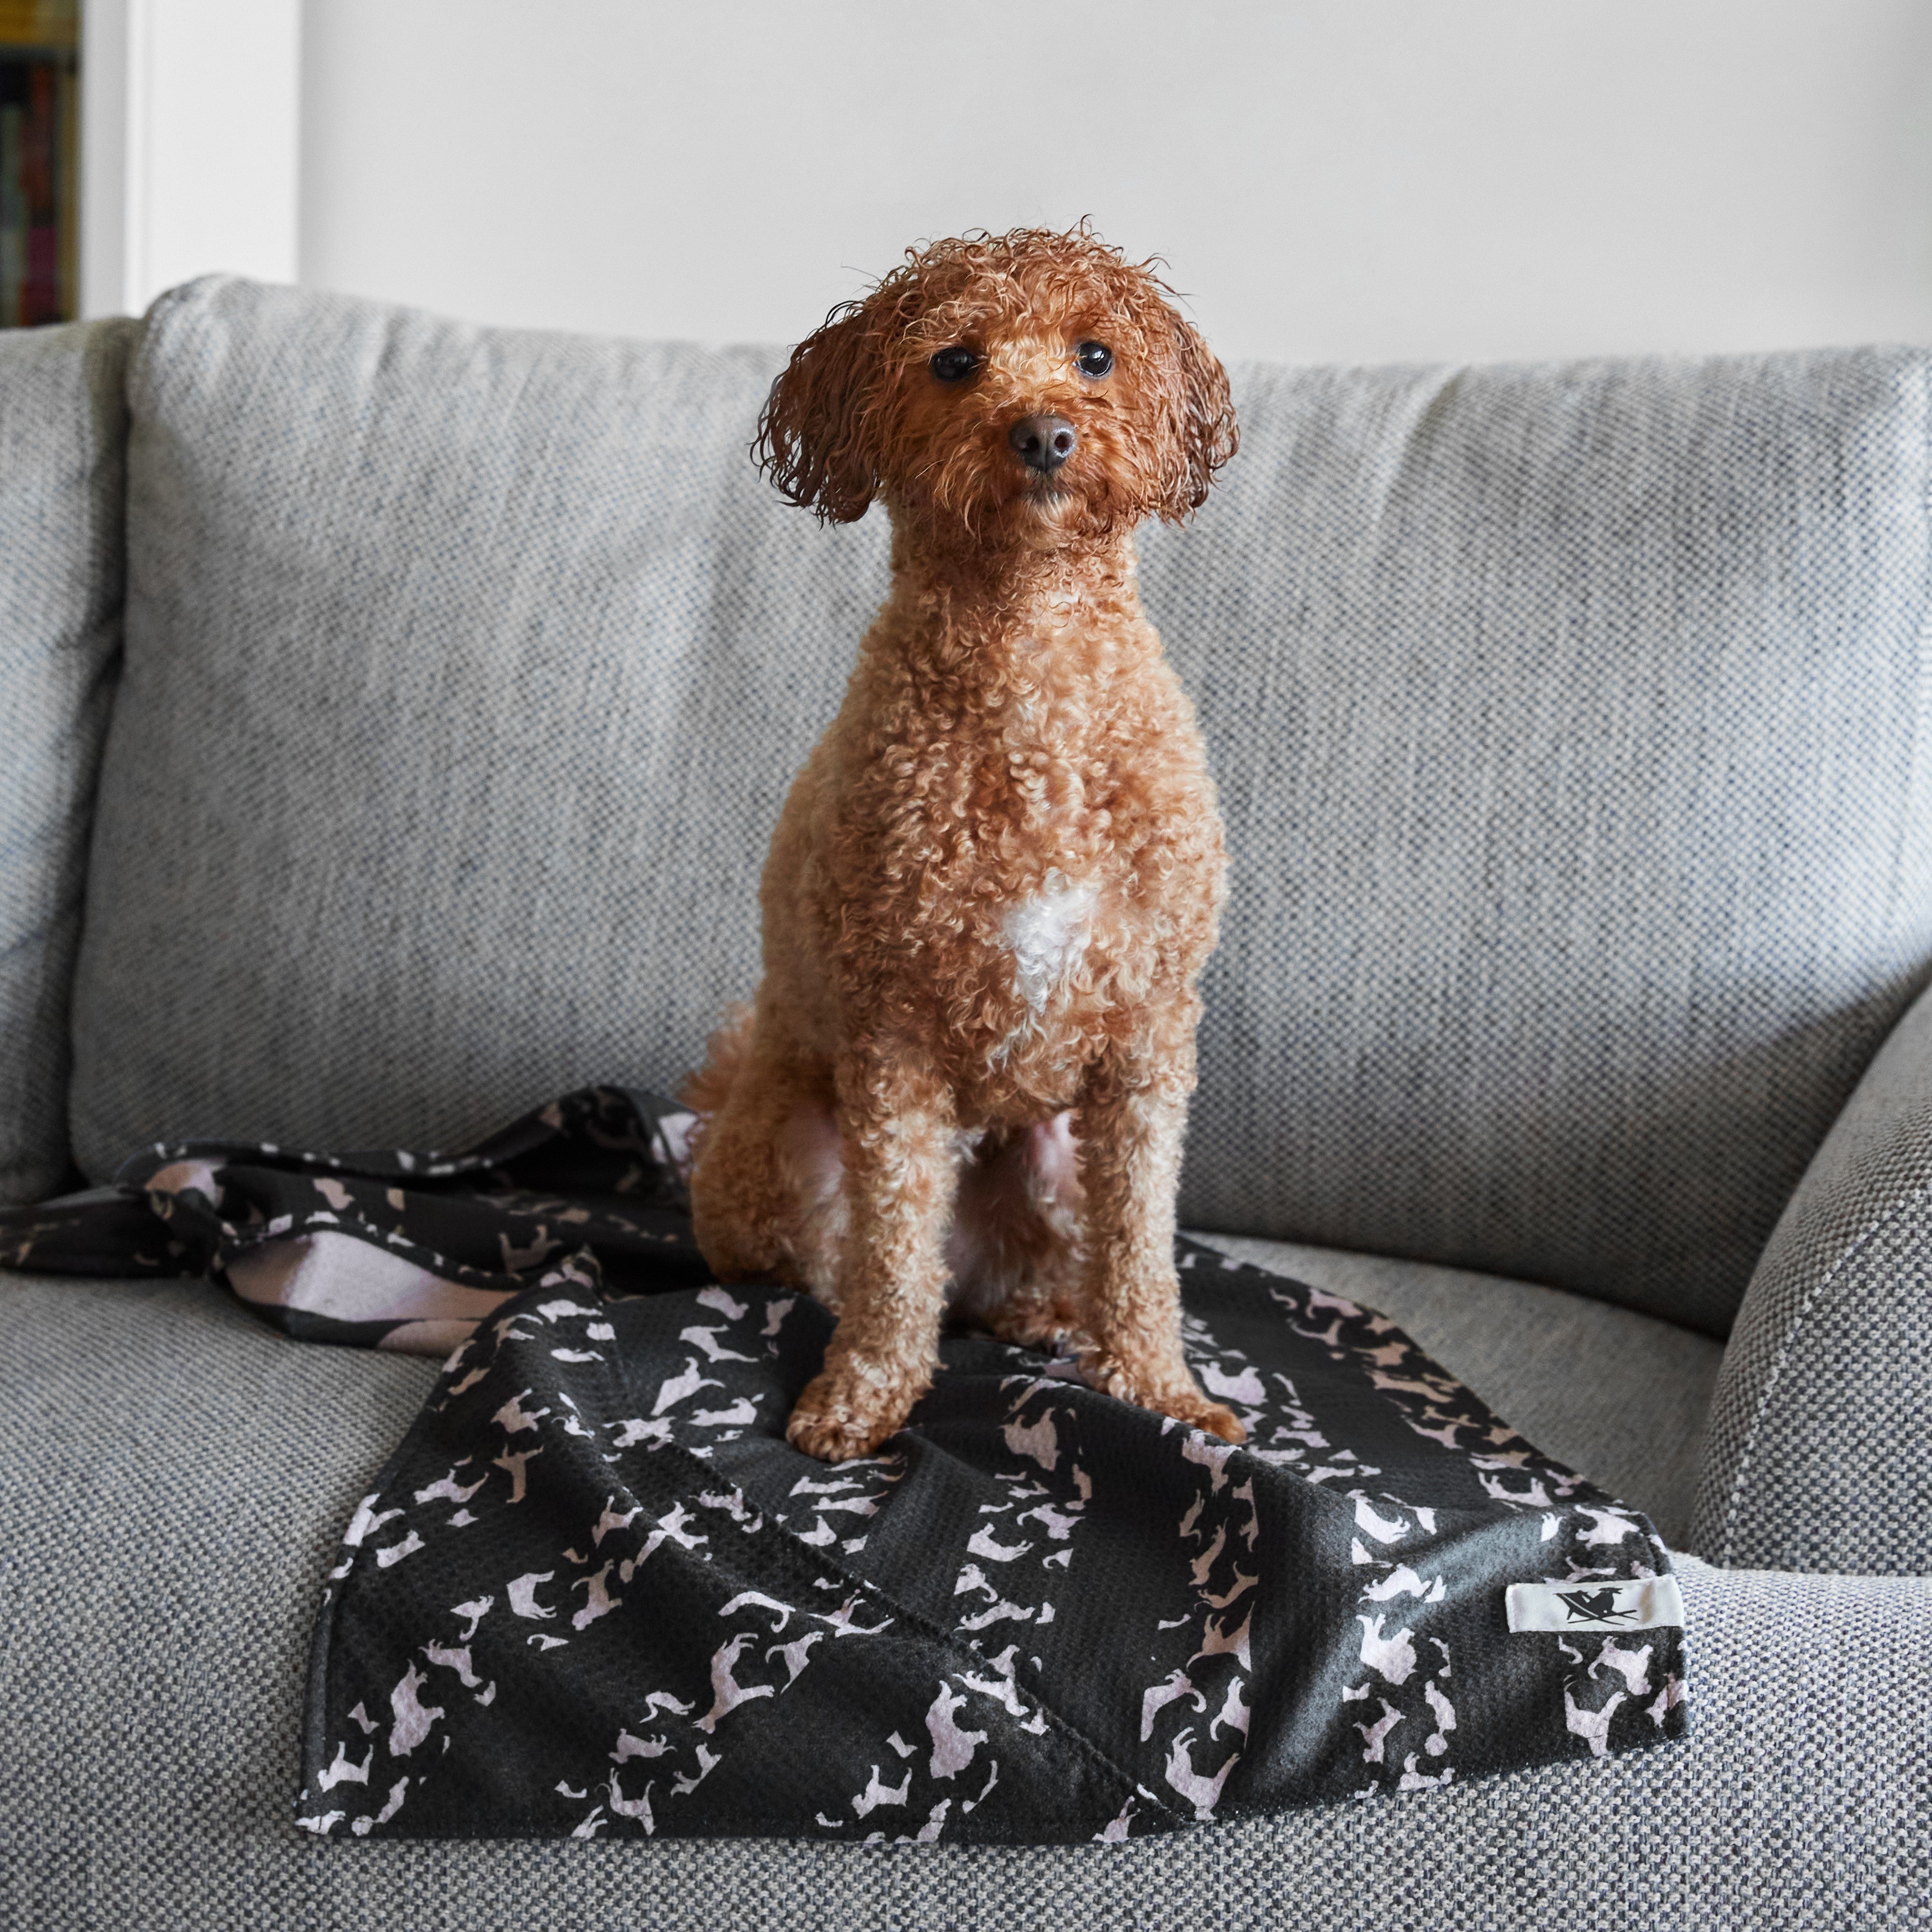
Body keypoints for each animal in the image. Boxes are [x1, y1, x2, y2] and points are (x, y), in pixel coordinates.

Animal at [688, 226, 1244, 1461]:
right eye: (952, 362)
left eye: (1095, 354)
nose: (1042, 432)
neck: (1031, 653)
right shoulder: (893, 1045)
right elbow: (896, 1260)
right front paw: (860, 1397)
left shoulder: (1146, 1043)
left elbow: (1139, 1251)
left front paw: (1159, 1388)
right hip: (781, 1156)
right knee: (845, 1261)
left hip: (1052, 1151)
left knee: (1037, 1269)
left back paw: (1037, 1312)